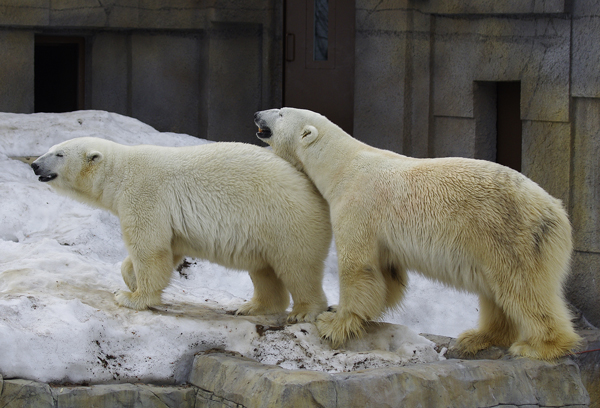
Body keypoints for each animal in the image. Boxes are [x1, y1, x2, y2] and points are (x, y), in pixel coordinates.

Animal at [31, 137, 332, 322]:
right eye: (52, 148)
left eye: (59, 154)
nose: (34, 164)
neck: (121, 173)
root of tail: (316, 193)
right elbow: (168, 248)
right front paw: (130, 280)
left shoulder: (144, 194)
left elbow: (150, 248)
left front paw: (131, 297)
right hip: (264, 231)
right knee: (264, 270)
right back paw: (250, 307)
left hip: (285, 220)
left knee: (297, 267)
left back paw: (304, 311)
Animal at [256, 107, 580, 358]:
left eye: (282, 112)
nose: (258, 113)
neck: (341, 165)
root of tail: (557, 212)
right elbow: (387, 274)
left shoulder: (357, 204)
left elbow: (358, 267)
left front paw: (333, 323)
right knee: (495, 293)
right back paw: (478, 337)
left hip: (511, 235)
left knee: (524, 289)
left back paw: (539, 346)